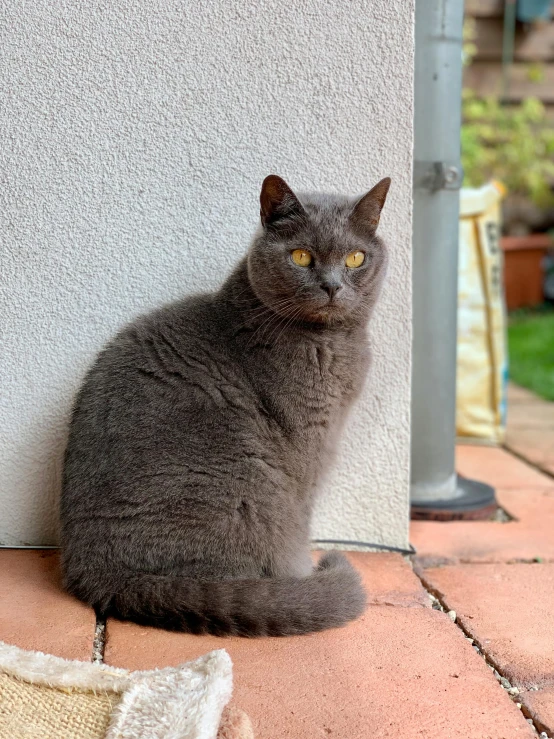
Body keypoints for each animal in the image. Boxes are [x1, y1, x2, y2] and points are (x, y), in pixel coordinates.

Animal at [59, 173, 388, 636]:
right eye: (301, 256)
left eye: (356, 258)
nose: (332, 286)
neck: (334, 343)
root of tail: (97, 571)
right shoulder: (307, 449)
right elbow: (302, 520)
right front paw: (304, 574)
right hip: (247, 491)